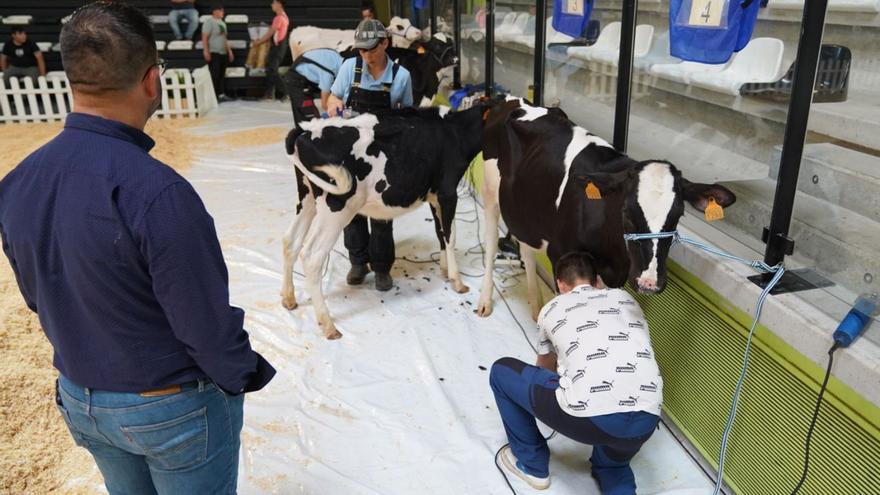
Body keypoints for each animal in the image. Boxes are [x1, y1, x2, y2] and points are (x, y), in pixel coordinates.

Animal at [280, 106, 484, 340]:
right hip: (336, 206)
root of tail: (305, 129)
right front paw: (458, 282)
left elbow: (440, 232)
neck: (455, 130)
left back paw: (288, 299)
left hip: (307, 197)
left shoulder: (434, 196)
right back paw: (328, 326)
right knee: (312, 256)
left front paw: (444, 270)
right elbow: (451, 235)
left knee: (290, 241)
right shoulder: (448, 191)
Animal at [474, 99, 736, 320]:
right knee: (490, 244)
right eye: (626, 212)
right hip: (490, 193)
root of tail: (514, 101)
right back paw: (485, 301)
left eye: (678, 215)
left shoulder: (614, 275)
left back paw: (536, 307)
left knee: (527, 250)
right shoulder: (560, 255)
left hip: (525, 209)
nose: (649, 282)